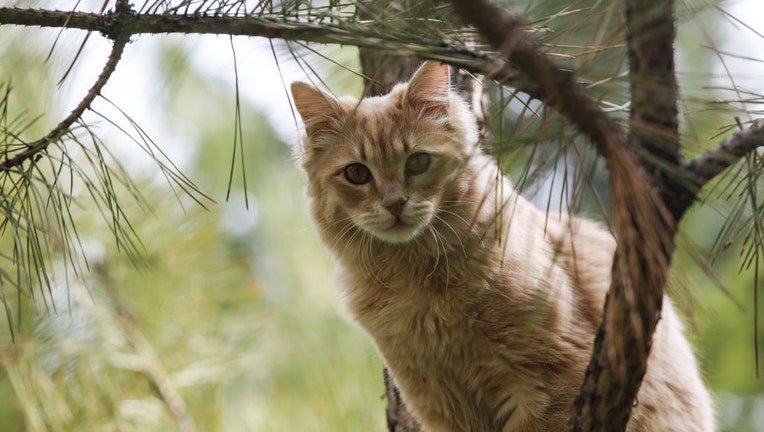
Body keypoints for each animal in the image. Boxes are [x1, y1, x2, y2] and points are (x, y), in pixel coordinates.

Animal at [290, 61, 712, 432]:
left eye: (417, 162)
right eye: (357, 174)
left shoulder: (549, 379)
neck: (418, 279)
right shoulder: (441, 403)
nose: (395, 204)